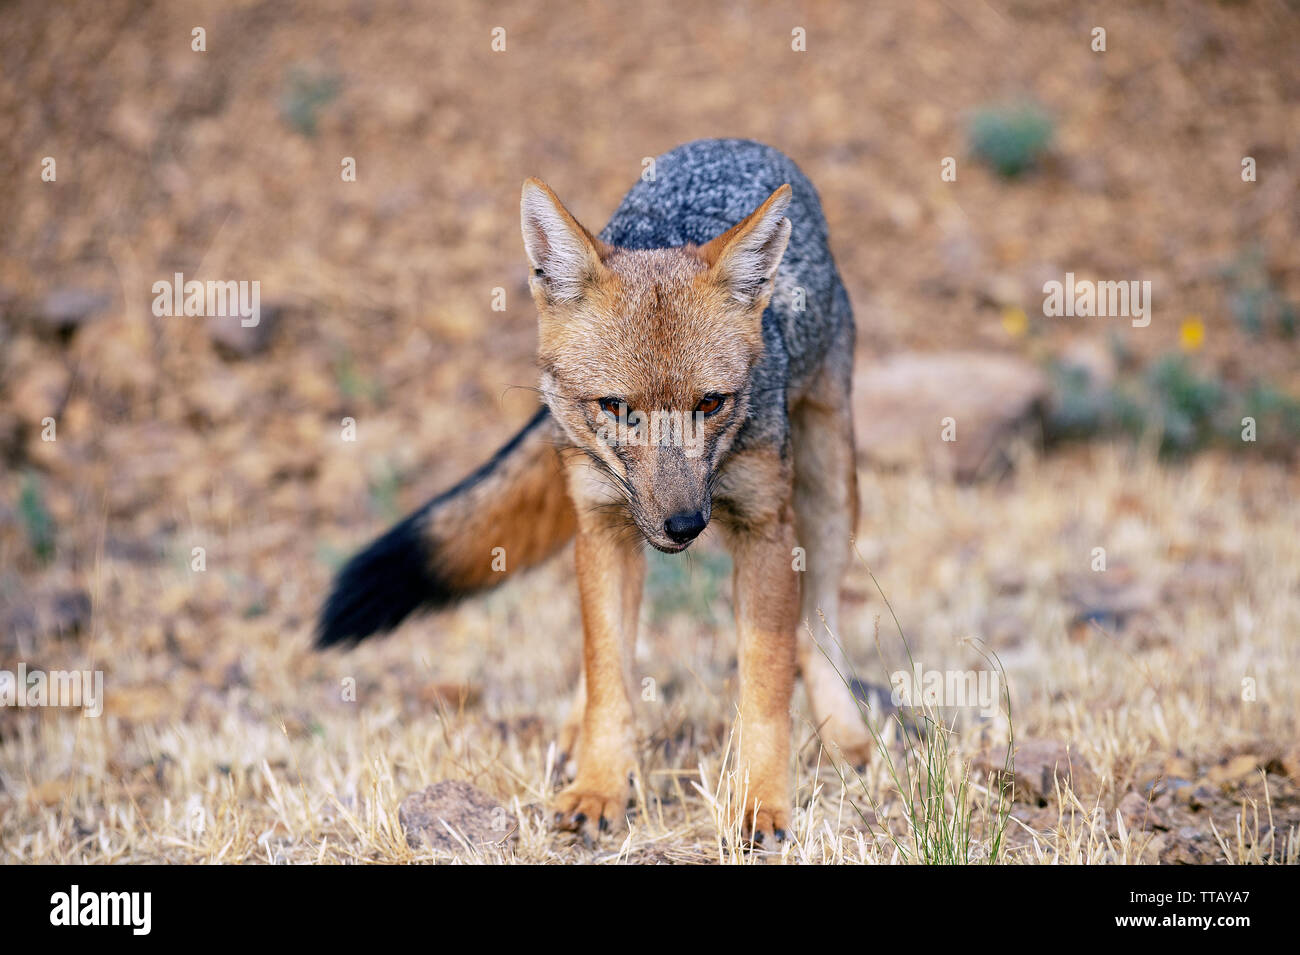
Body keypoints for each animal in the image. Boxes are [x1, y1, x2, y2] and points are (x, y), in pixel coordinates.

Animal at [319, 136, 873, 841]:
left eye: (711, 403)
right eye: (614, 407)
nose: (686, 525)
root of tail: (734, 142)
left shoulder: (763, 528)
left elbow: (767, 683)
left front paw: (762, 801)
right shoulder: (602, 526)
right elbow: (609, 670)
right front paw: (600, 786)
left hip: (828, 494)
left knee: (818, 618)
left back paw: (845, 730)